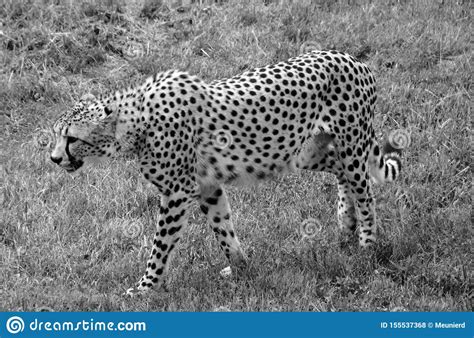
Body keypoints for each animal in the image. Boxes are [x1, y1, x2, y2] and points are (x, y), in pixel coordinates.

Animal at [50, 48, 402, 294]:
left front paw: (145, 287)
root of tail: (351, 58)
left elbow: (160, 245)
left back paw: (366, 245)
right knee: (341, 171)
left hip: (350, 145)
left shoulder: (177, 192)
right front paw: (241, 269)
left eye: (71, 138)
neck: (134, 124)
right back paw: (345, 224)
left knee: (365, 192)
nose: (54, 159)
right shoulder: (208, 186)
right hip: (303, 152)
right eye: (57, 134)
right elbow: (223, 230)